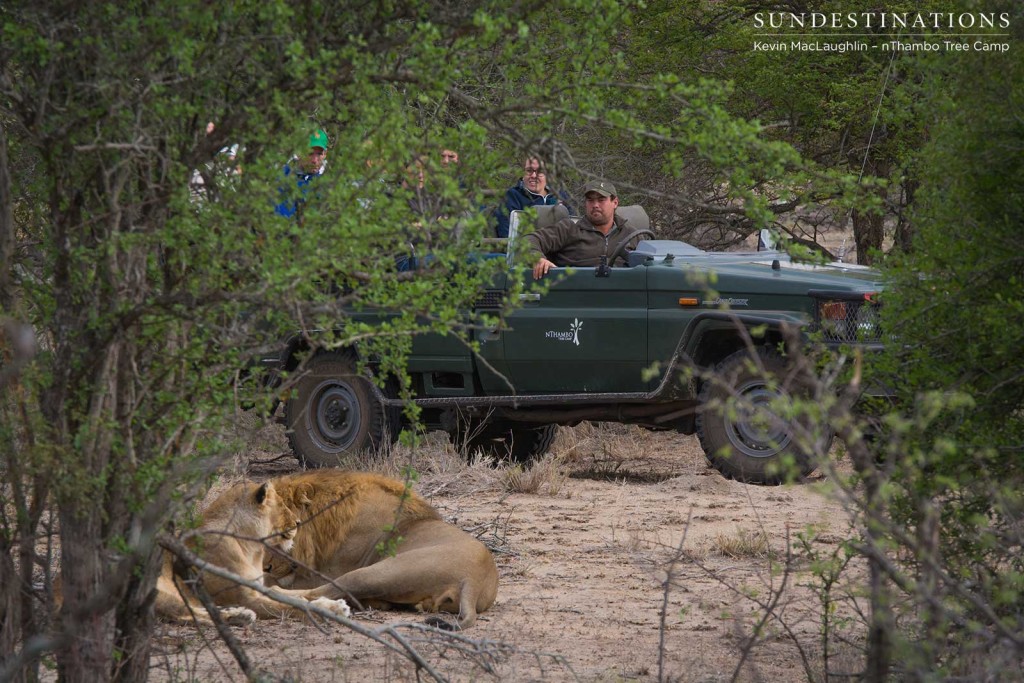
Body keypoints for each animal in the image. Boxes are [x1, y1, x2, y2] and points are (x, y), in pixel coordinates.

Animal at [152, 481, 352, 626]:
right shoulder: (247, 598)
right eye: (281, 505)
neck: (251, 549)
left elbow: (297, 595)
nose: (298, 522)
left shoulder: (259, 587)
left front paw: (333, 603)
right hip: (163, 589)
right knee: (184, 615)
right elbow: (292, 605)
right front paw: (332, 611)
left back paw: (237, 614)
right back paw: (241, 616)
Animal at [264, 471, 499, 630]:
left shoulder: (329, 570)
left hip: (377, 572)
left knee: (321, 592)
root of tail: (473, 580)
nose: (266, 566)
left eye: (283, 533)